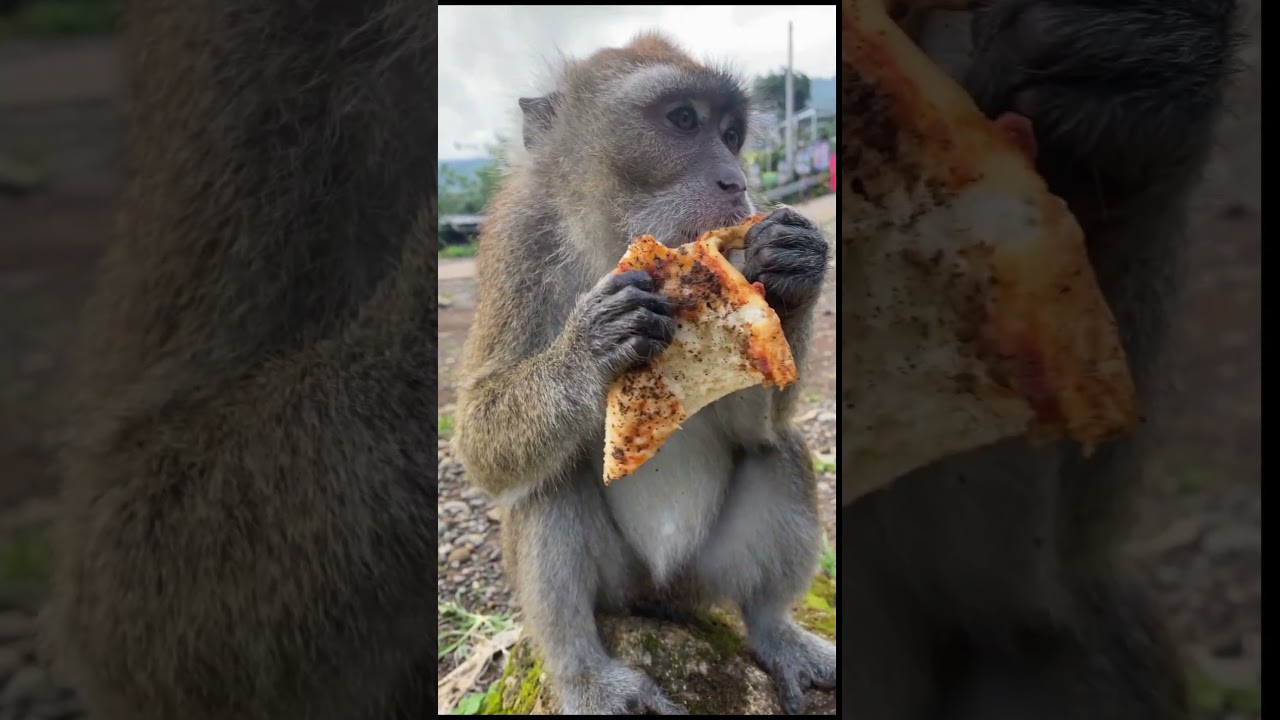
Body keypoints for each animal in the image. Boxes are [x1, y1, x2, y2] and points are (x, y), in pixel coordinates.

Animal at [453, 33, 835, 715]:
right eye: (683, 120)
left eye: (731, 134)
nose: (738, 181)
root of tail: (662, 595)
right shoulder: (518, 245)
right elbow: (481, 440)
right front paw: (589, 347)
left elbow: (753, 422)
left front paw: (796, 267)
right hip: (621, 585)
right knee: (545, 486)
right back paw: (584, 674)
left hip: (705, 578)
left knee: (780, 448)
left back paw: (773, 628)